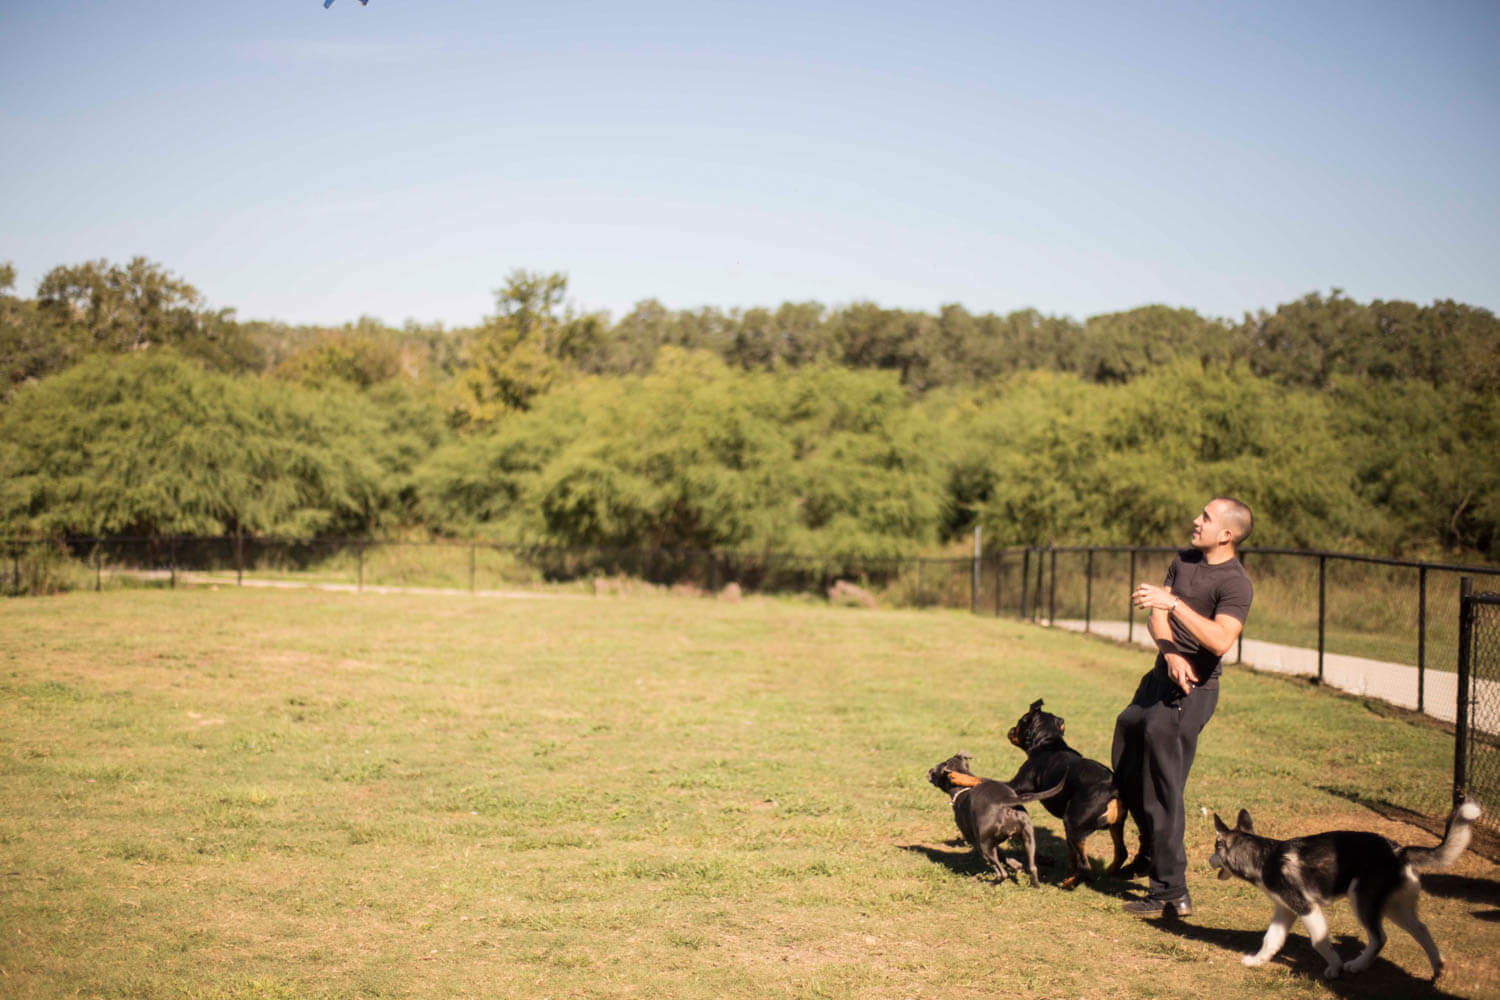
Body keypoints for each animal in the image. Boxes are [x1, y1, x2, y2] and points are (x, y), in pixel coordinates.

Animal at [924, 755, 1068, 887]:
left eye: (935, 769)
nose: (928, 771)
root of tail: (1005, 801)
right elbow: (1005, 855)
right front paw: (1017, 865)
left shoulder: (976, 840)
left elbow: (1002, 857)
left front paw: (1015, 865)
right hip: (1028, 838)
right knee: (1033, 866)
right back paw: (1035, 884)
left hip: (984, 848)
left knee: (1002, 873)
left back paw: (989, 882)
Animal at [1008, 701, 1128, 887]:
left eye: (1020, 721)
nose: (1011, 730)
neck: (1048, 743)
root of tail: (1111, 788)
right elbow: (1073, 854)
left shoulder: (1018, 785)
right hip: (1115, 825)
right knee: (1121, 852)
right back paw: (1106, 873)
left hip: (1073, 823)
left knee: (1086, 866)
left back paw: (1068, 884)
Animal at [1206, 803, 1476, 983]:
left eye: (1215, 848)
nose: (1208, 861)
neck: (1264, 858)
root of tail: (1399, 850)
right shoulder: (1286, 910)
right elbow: (1270, 939)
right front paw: (1257, 961)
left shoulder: (1307, 909)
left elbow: (1319, 942)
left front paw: (1334, 968)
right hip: (1395, 908)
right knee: (1422, 929)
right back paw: (1437, 967)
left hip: (1361, 900)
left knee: (1379, 938)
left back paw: (1357, 965)